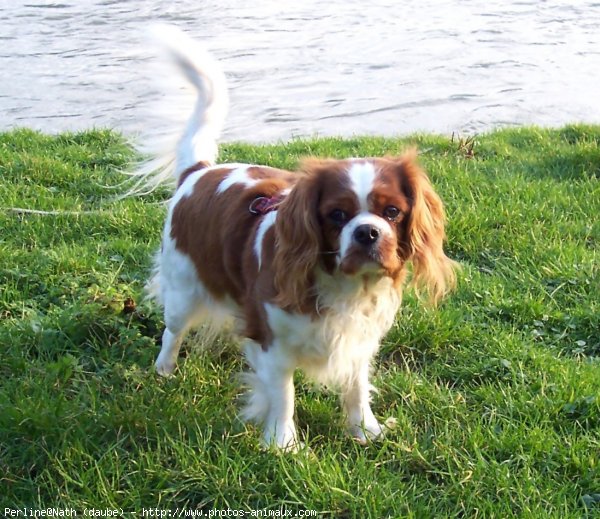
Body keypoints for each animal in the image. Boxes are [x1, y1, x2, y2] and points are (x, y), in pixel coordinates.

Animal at [135, 25, 454, 450]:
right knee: (172, 331)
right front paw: (284, 446)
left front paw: (364, 430)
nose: (368, 232)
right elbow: (282, 393)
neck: (345, 289)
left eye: (392, 213)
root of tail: (199, 172)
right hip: (183, 289)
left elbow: (356, 386)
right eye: (336, 215)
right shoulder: (270, 339)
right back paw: (164, 370)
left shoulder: (359, 339)